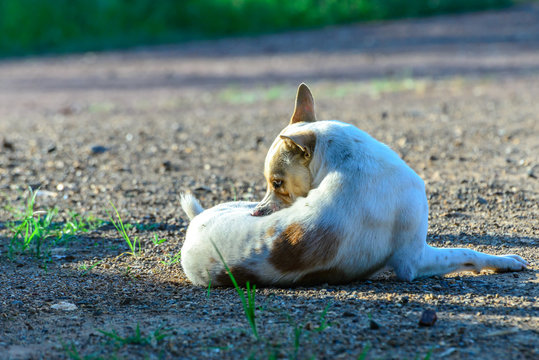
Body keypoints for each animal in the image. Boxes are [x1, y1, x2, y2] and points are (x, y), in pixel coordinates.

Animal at [180, 82, 528, 286]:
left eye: (277, 183)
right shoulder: (413, 259)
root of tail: (195, 223)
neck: (344, 161)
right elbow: (468, 252)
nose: (256, 213)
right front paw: (505, 262)